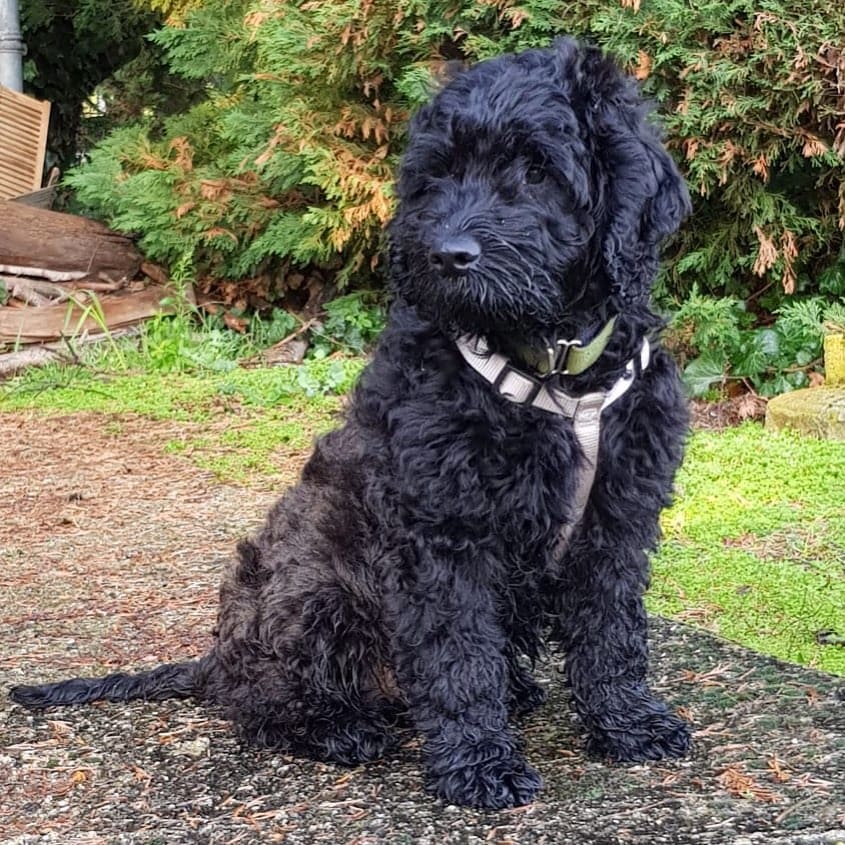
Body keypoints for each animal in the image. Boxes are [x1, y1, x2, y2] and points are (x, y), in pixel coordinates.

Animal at [11, 41, 692, 812]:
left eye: (538, 169)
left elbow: (611, 631)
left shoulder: (615, 520)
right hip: (313, 593)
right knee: (262, 702)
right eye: (438, 173)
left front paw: (627, 723)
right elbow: (457, 654)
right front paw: (478, 764)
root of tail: (213, 658)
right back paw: (340, 728)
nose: (445, 255)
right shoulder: (442, 534)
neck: (549, 368)